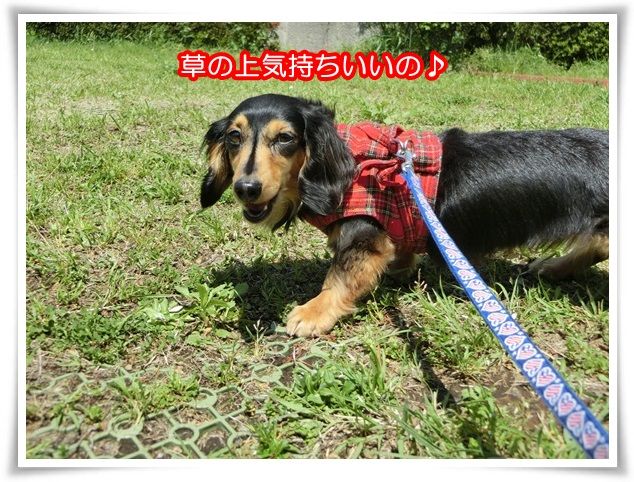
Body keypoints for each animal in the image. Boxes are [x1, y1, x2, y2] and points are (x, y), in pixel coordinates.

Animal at [200, 93, 609, 337]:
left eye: (285, 138)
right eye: (234, 137)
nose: (246, 188)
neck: (352, 165)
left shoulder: (363, 237)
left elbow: (339, 278)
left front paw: (313, 313)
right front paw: (401, 268)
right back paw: (553, 267)